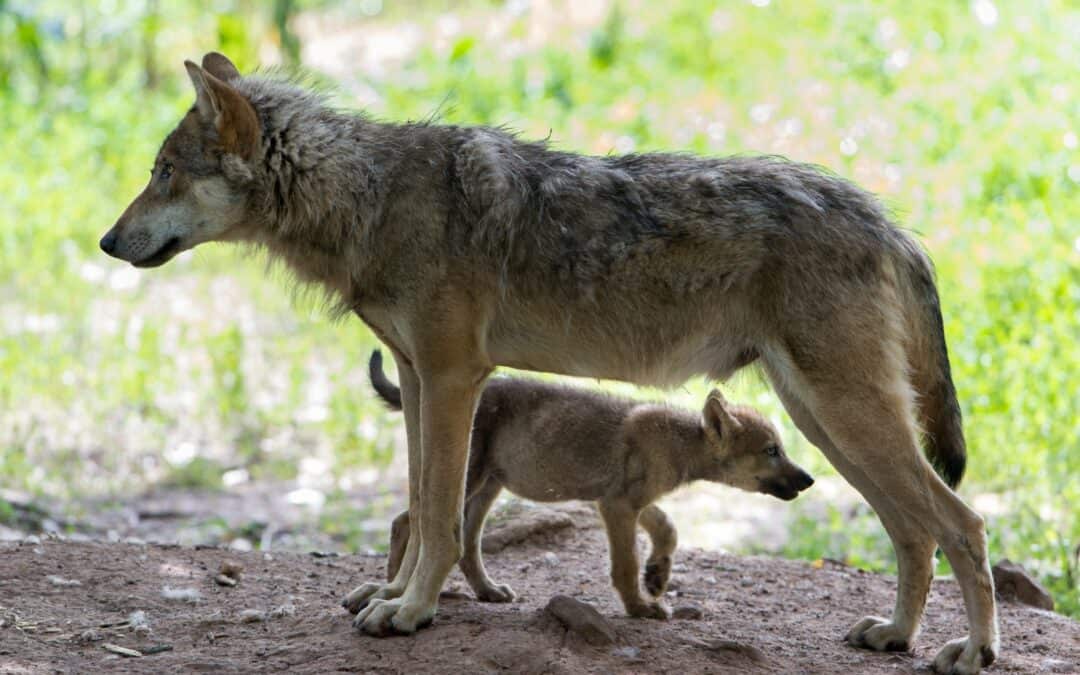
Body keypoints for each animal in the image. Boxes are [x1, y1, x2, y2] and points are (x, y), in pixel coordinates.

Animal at [97, 49, 997, 669]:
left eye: (164, 173)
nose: (105, 242)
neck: (371, 198)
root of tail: (889, 221)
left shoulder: (454, 379)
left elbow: (435, 511)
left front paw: (410, 610)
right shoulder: (419, 380)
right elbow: (420, 504)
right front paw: (395, 595)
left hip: (842, 415)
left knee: (963, 522)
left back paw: (972, 651)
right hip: (825, 422)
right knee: (915, 530)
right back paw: (896, 634)